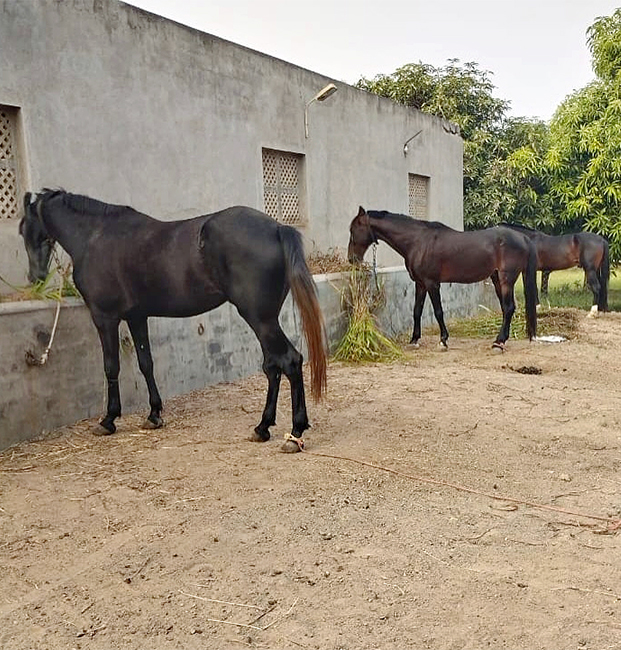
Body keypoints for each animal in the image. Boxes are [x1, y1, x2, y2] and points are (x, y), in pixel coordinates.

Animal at [20, 189, 330, 450]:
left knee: (289, 361)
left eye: (24, 228)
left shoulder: (104, 318)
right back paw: (263, 427)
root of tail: (277, 228)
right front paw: (154, 414)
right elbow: (146, 363)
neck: (95, 236)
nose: (35, 277)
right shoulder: (136, 317)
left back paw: (295, 434)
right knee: (273, 366)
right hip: (264, 320)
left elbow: (111, 367)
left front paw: (108, 420)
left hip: (260, 319)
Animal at [346, 208, 536, 350]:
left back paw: (499, 342)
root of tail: (523, 238)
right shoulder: (420, 284)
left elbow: (438, 311)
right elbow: (416, 311)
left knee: (509, 308)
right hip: (496, 278)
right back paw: (501, 340)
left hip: (506, 279)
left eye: (353, 230)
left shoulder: (432, 283)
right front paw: (414, 340)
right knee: (506, 308)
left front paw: (443, 340)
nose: (351, 259)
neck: (417, 241)